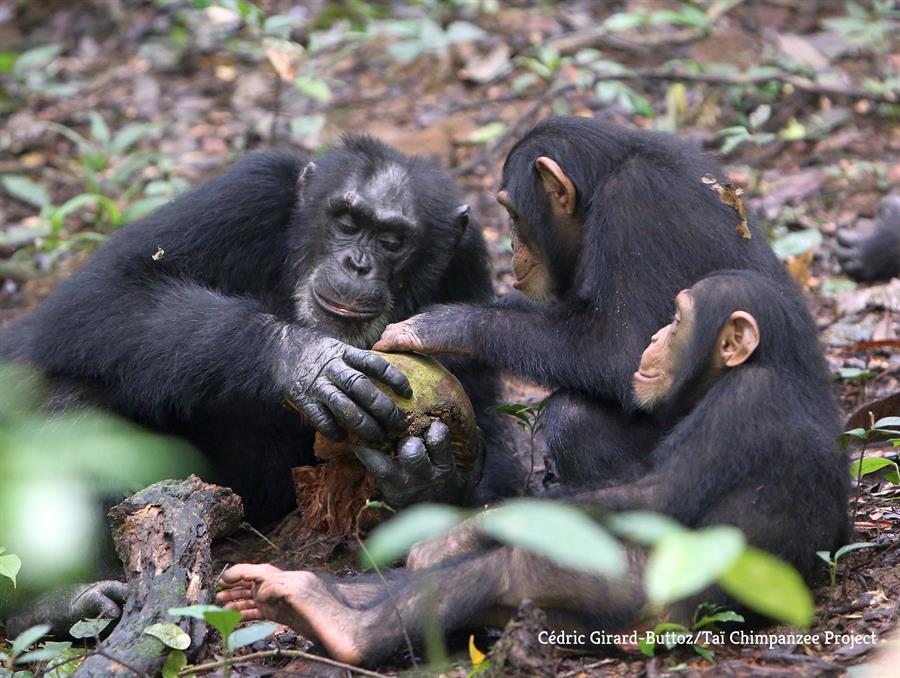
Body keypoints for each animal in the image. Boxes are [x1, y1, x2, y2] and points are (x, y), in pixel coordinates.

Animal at [0, 135, 520, 524]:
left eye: (393, 241)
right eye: (347, 221)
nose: (357, 263)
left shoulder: (467, 260)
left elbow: (486, 421)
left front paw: (430, 477)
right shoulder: (250, 189)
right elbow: (108, 289)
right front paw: (304, 360)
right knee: (75, 391)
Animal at [218, 272, 852, 668]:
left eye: (677, 320)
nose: (656, 337)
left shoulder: (745, 403)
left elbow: (659, 493)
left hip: (656, 610)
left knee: (522, 568)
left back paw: (343, 627)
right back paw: (304, 596)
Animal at [376, 115, 800, 488]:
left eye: (513, 213)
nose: (511, 244)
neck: (601, 184)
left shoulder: (632, 204)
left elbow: (621, 349)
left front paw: (442, 327)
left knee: (573, 417)